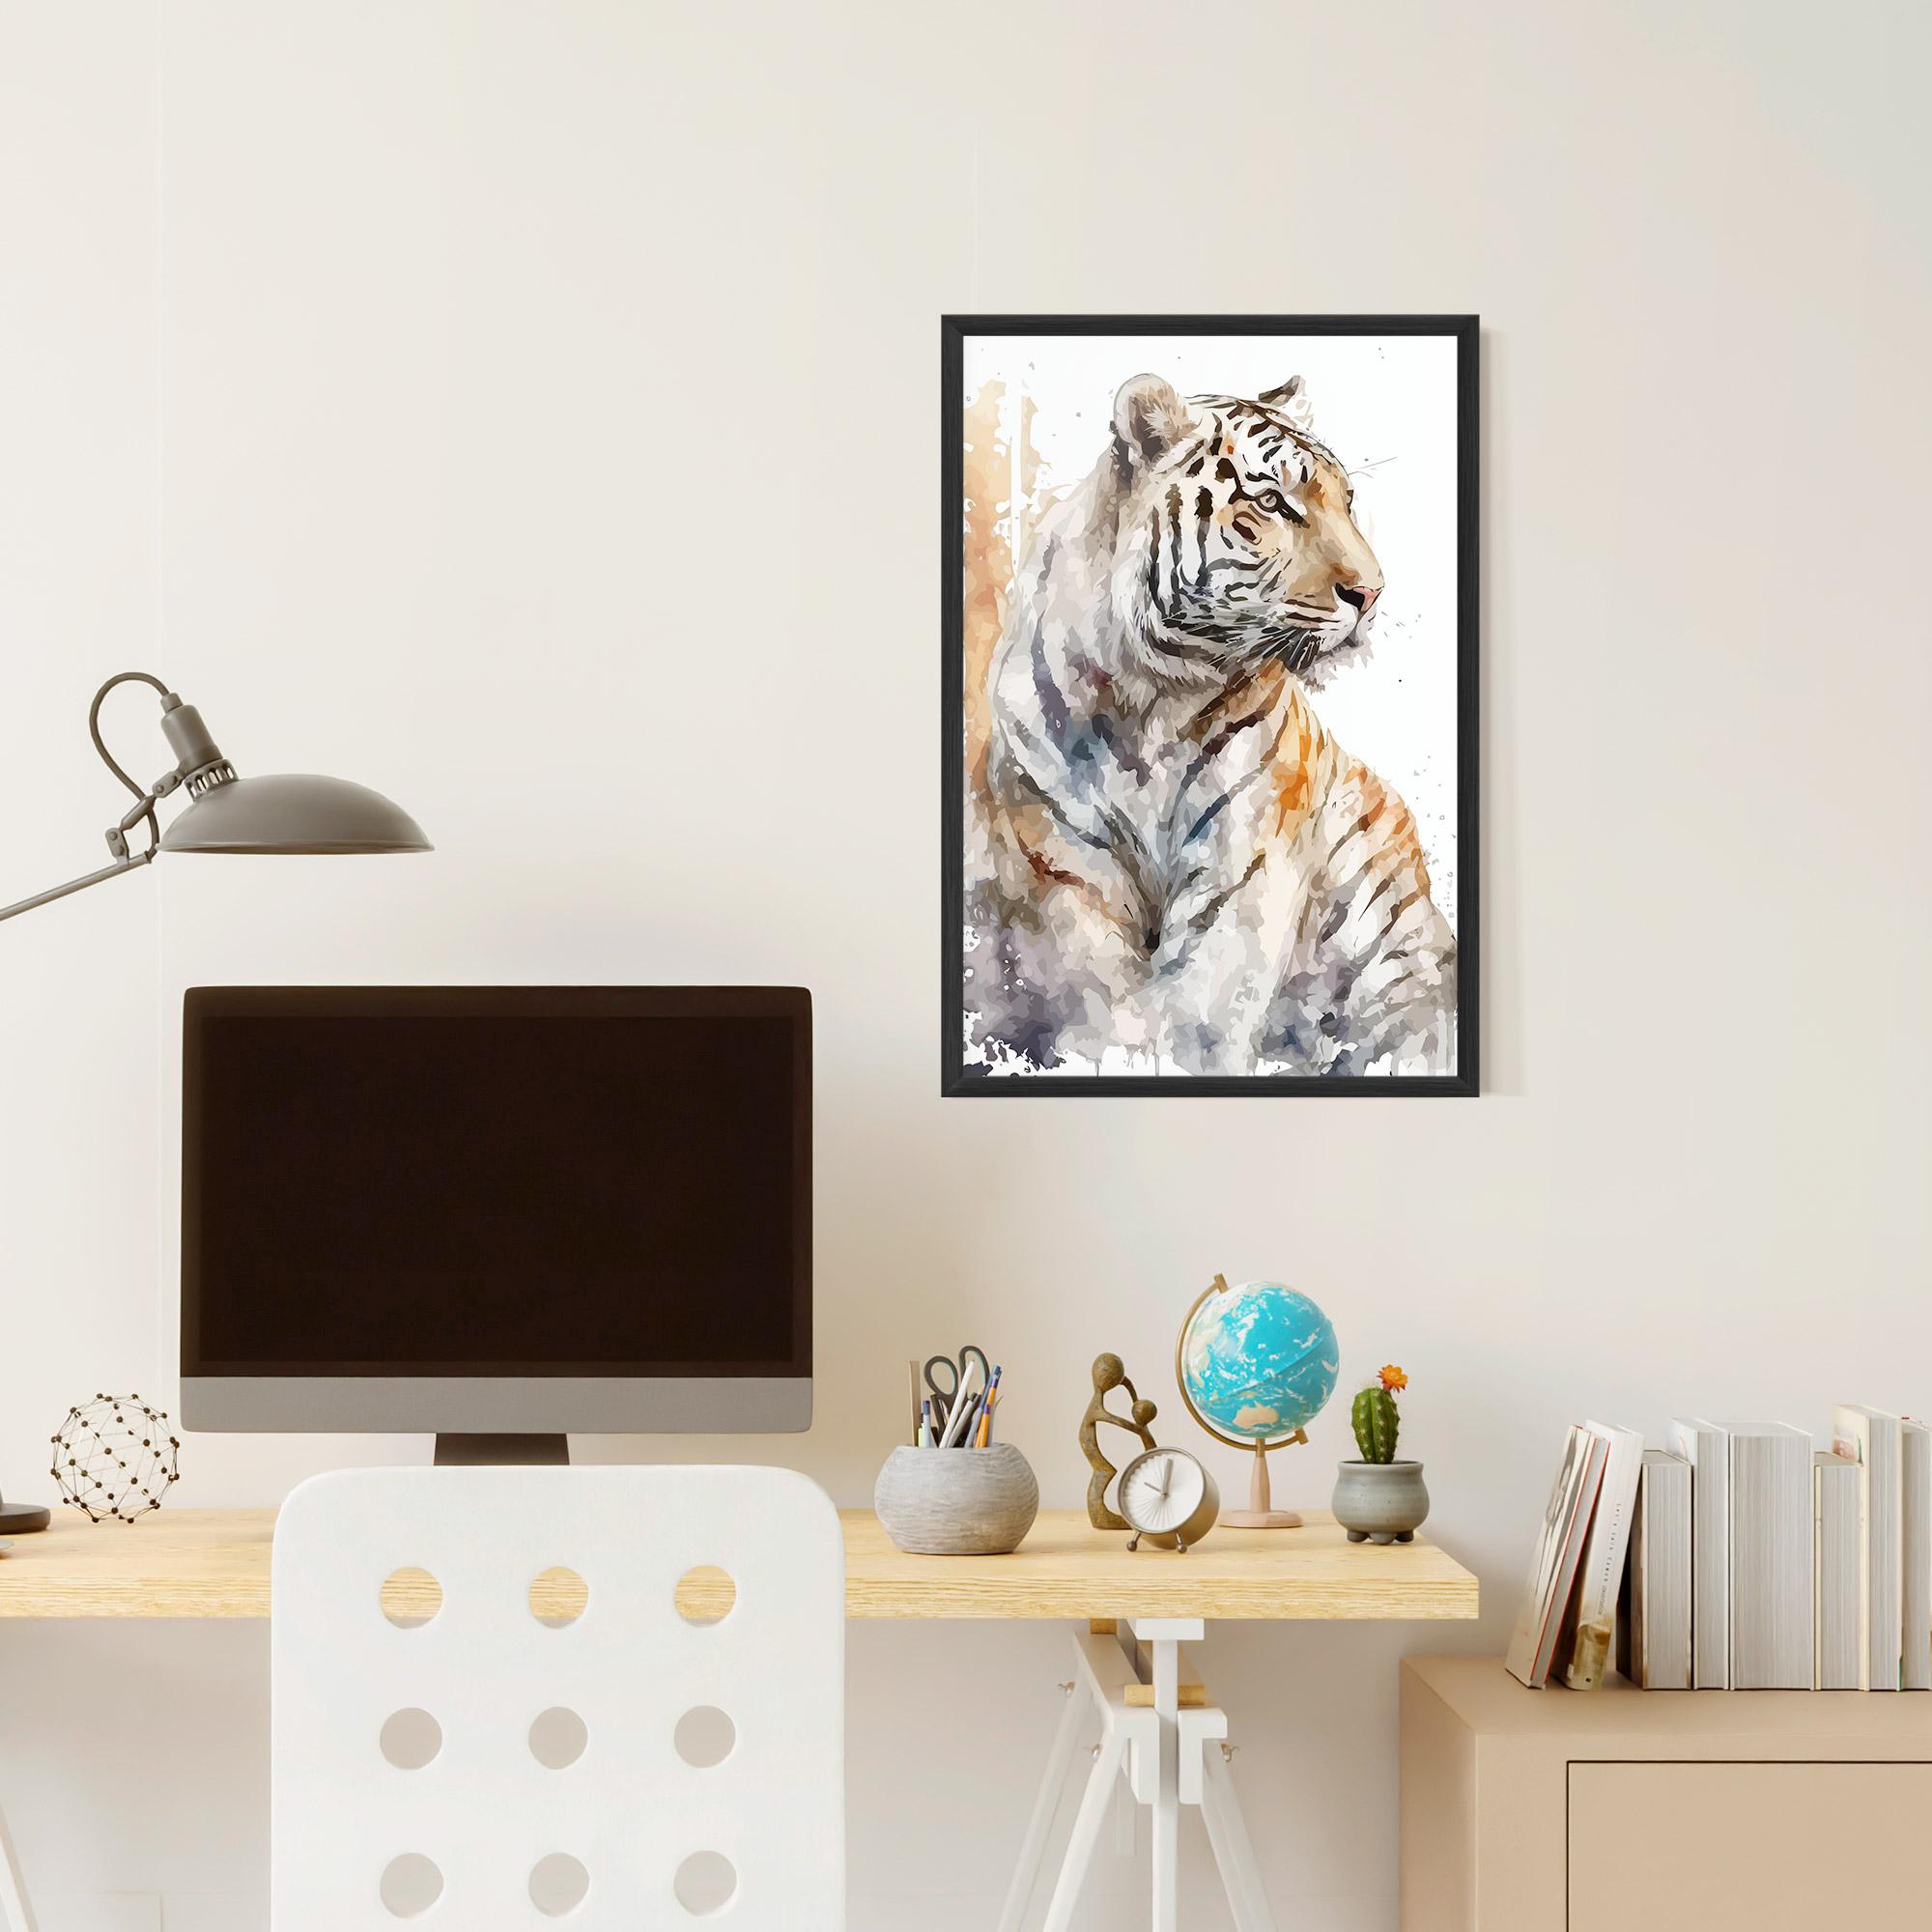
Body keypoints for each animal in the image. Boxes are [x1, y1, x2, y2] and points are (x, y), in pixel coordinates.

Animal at [963, 370, 1456, 1078]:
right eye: (1274, 503)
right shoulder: (1064, 866)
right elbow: (1094, 1002)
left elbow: (1202, 1016)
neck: (1148, 699)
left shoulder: (1242, 863)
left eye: (1347, 501)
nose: (1373, 593)